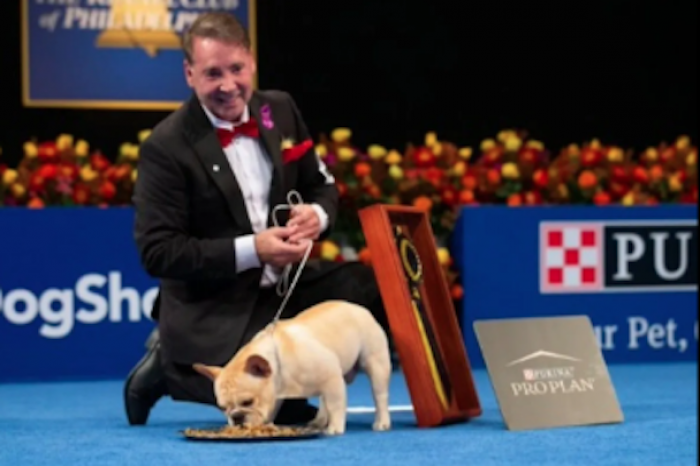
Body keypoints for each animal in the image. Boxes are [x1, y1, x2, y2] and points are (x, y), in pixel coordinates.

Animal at [191, 300, 394, 436]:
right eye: (222, 408)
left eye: (247, 402)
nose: (236, 417)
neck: (279, 361)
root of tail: (358, 308)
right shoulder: (275, 395)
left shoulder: (331, 377)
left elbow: (336, 405)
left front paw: (335, 427)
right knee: (323, 400)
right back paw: (319, 421)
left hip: (375, 364)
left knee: (379, 396)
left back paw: (382, 422)